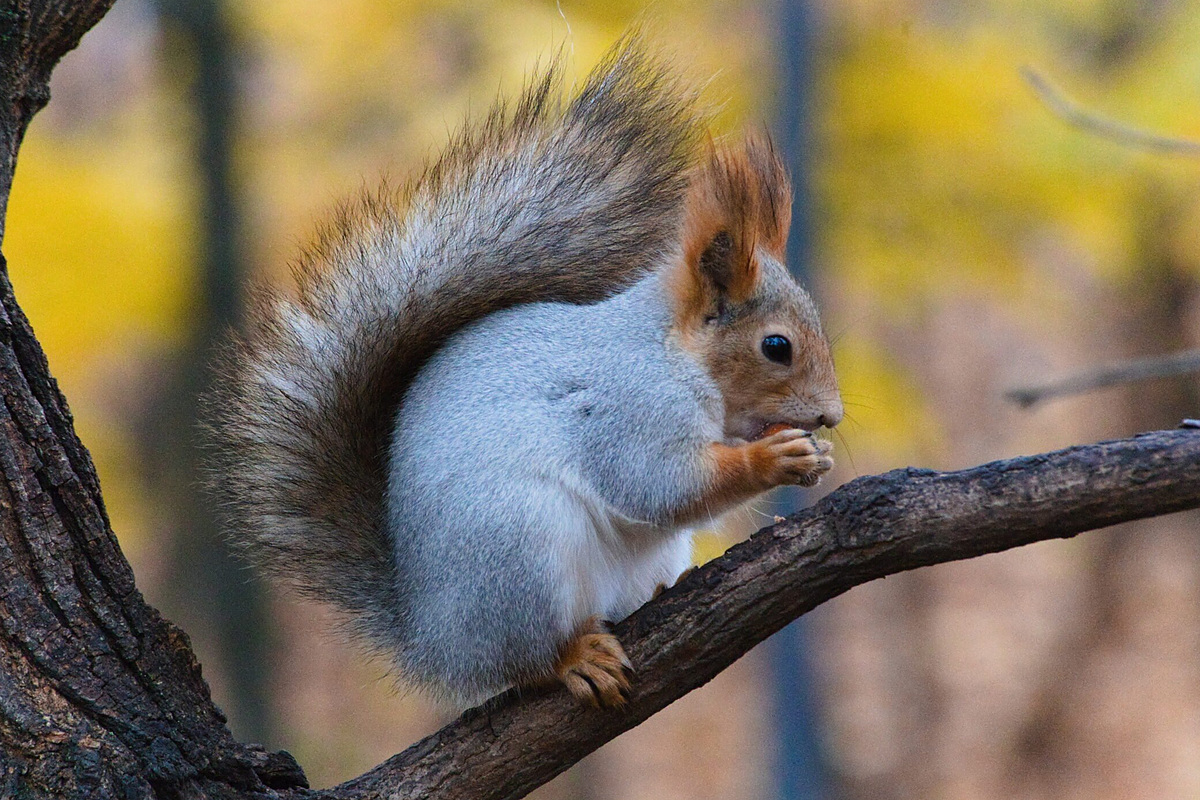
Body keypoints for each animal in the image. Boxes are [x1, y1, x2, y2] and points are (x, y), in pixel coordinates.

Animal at [207, 39, 843, 710]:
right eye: (776, 346)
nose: (831, 415)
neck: (673, 352)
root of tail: (432, 639)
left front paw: (813, 455)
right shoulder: (629, 405)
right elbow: (657, 483)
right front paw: (775, 458)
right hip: (520, 548)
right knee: (520, 661)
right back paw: (571, 658)